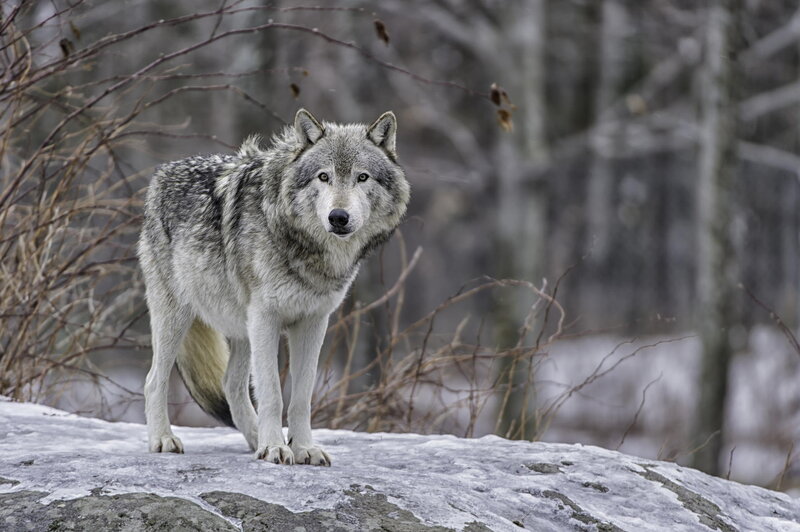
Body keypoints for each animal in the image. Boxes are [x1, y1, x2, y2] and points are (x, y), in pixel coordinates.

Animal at [138, 109, 409, 465]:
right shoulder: (266, 318)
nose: (338, 217)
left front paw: (302, 447)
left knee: (231, 385)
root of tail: (163, 172)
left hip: (241, 329)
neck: (307, 251)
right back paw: (163, 439)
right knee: (154, 380)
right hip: (178, 318)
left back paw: (254, 439)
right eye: (323, 177)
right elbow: (272, 394)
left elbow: (301, 397)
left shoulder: (313, 322)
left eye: (362, 177)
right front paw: (275, 447)